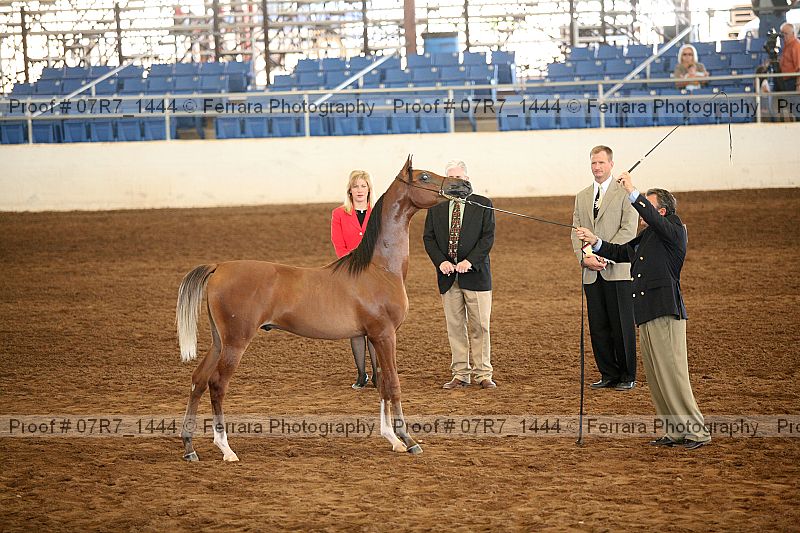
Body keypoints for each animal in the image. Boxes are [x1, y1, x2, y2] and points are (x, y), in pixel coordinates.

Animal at [175, 155, 472, 461]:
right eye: (424, 177)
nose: (463, 185)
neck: (379, 268)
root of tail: (219, 267)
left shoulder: (374, 337)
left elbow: (382, 386)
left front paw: (392, 438)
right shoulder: (385, 335)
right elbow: (393, 385)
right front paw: (408, 439)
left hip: (219, 341)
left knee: (198, 380)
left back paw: (189, 447)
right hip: (236, 342)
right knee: (217, 384)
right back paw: (226, 448)